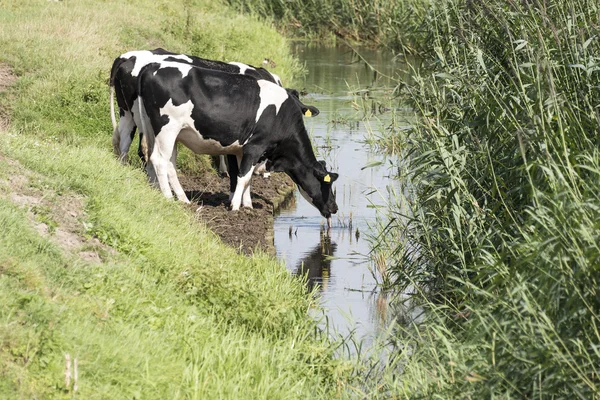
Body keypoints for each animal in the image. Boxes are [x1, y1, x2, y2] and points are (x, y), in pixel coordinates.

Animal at [138, 63, 340, 222]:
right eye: (327, 183)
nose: (335, 207)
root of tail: (151, 67)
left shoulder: (242, 151)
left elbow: (246, 178)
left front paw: (248, 206)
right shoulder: (255, 147)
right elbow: (243, 177)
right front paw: (235, 207)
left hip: (162, 131)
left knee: (165, 162)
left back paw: (179, 198)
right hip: (167, 128)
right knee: (159, 161)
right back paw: (168, 197)